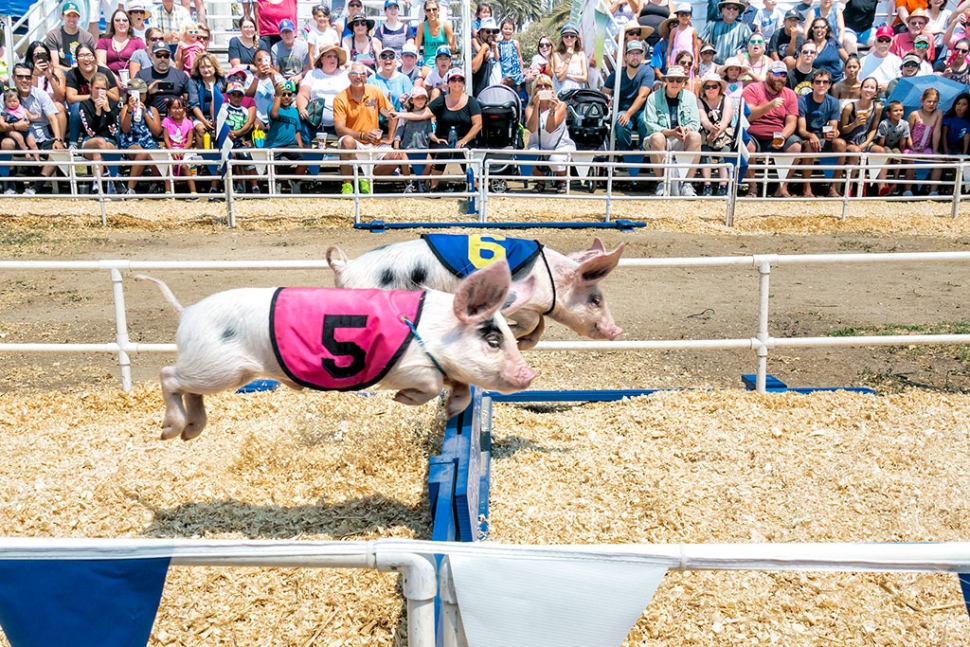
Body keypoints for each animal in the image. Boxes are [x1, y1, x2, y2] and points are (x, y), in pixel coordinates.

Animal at [139, 260, 536, 442]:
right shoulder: (408, 365)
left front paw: (453, 409)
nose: (530, 374)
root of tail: (188, 314)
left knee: (187, 388)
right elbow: (430, 384)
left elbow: (463, 390)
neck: (432, 331)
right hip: (219, 368)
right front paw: (402, 399)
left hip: (219, 371)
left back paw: (189, 433)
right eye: (493, 341)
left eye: (508, 337)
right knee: (167, 375)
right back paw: (169, 432)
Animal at [328, 237, 624, 350]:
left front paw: (524, 343)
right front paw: (514, 334)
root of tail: (345, 267)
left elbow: (539, 324)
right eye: (595, 300)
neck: (551, 281)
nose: (616, 331)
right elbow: (531, 321)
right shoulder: (517, 301)